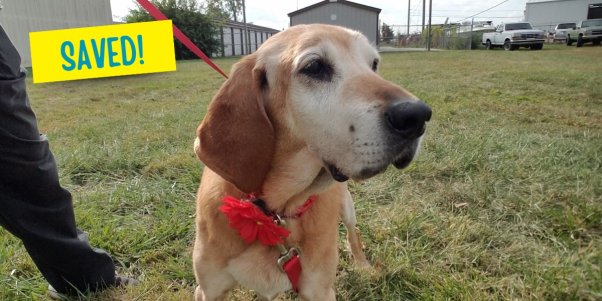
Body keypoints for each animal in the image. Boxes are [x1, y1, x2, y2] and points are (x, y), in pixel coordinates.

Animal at [190, 24, 428, 300]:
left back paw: (363, 265)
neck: (274, 212)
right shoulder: (208, 290)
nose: (418, 116)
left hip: (347, 207)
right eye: (315, 67)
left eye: (374, 64)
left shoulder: (320, 290)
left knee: (353, 233)